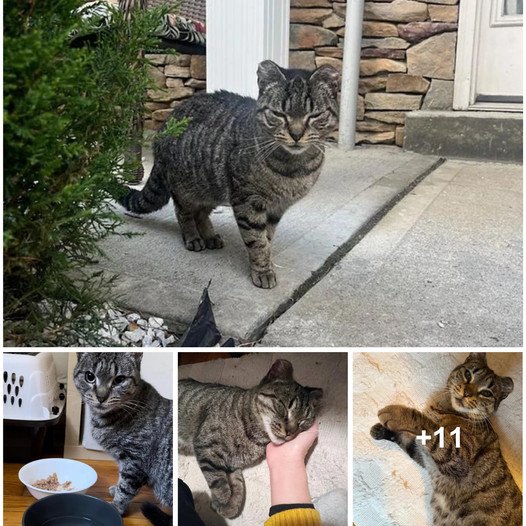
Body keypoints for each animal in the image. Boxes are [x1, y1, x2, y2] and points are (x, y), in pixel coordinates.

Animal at [121, 60, 340, 290]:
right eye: (279, 114)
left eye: (314, 115)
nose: (296, 134)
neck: (293, 169)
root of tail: (166, 124)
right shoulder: (248, 201)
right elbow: (257, 240)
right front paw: (262, 270)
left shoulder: (276, 209)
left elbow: (267, 237)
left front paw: (267, 261)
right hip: (187, 188)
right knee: (184, 213)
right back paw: (193, 237)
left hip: (211, 186)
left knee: (201, 213)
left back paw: (210, 236)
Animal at [179, 358, 324, 520]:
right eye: (285, 408)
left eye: (303, 421)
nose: (290, 433)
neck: (255, 438)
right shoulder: (206, 447)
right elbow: (219, 482)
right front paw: (223, 501)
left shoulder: (232, 465)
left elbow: (238, 487)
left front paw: (228, 507)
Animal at [372, 352, 524, 526]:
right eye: (468, 375)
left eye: (486, 393)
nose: (467, 393)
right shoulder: (424, 456)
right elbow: (406, 438)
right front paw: (381, 430)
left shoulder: (455, 459)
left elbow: (427, 425)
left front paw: (396, 414)